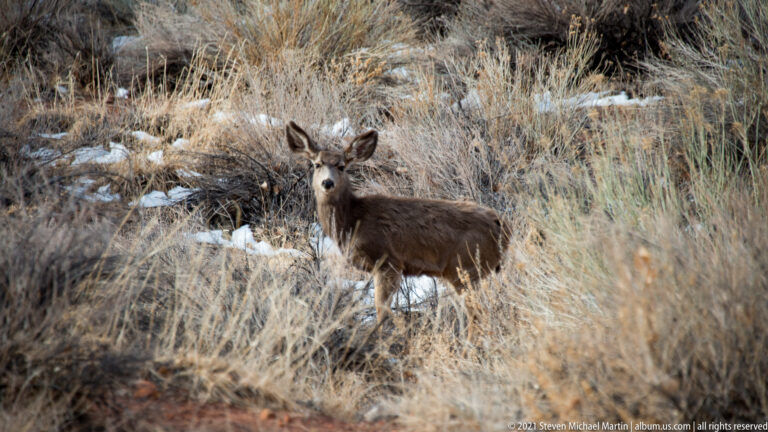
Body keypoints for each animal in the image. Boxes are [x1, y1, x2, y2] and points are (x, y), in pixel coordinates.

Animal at [286, 121, 509, 342]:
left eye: (341, 166)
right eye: (317, 164)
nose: (327, 182)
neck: (353, 220)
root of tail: (502, 227)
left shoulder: (388, 261)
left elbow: (381, 310)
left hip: (466, 267)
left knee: (478, 313)